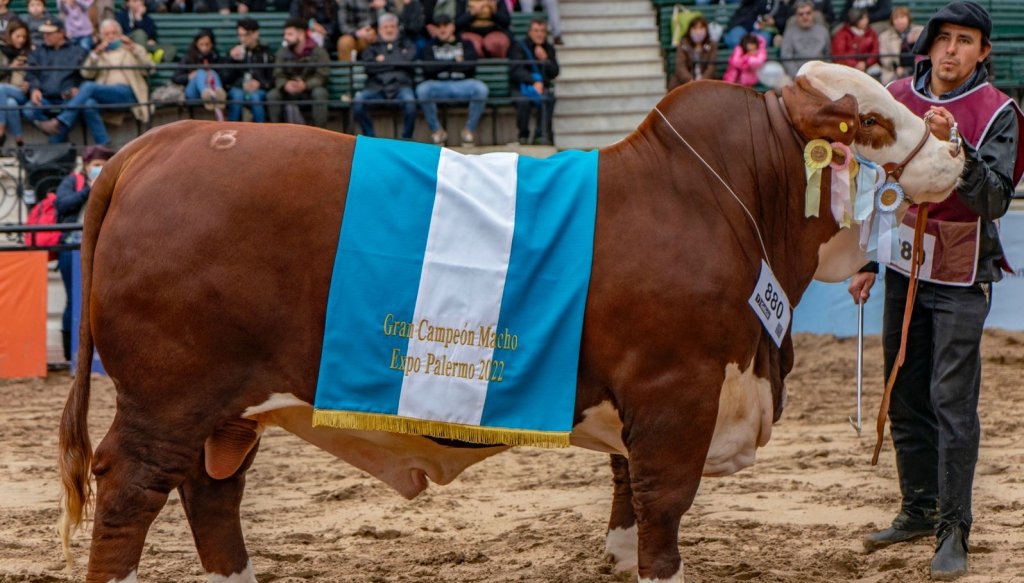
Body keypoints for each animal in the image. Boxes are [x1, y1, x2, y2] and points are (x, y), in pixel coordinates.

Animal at [59, 61, 962, 577]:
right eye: (869, 121)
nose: (955, 149)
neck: (733, 202)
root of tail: (159, 143)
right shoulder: (676, 395)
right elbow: (664, 512)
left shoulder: (640, 407)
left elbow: (626, 498)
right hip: (166, 399)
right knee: (132, 493)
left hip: (229, 410)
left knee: (214, 497)